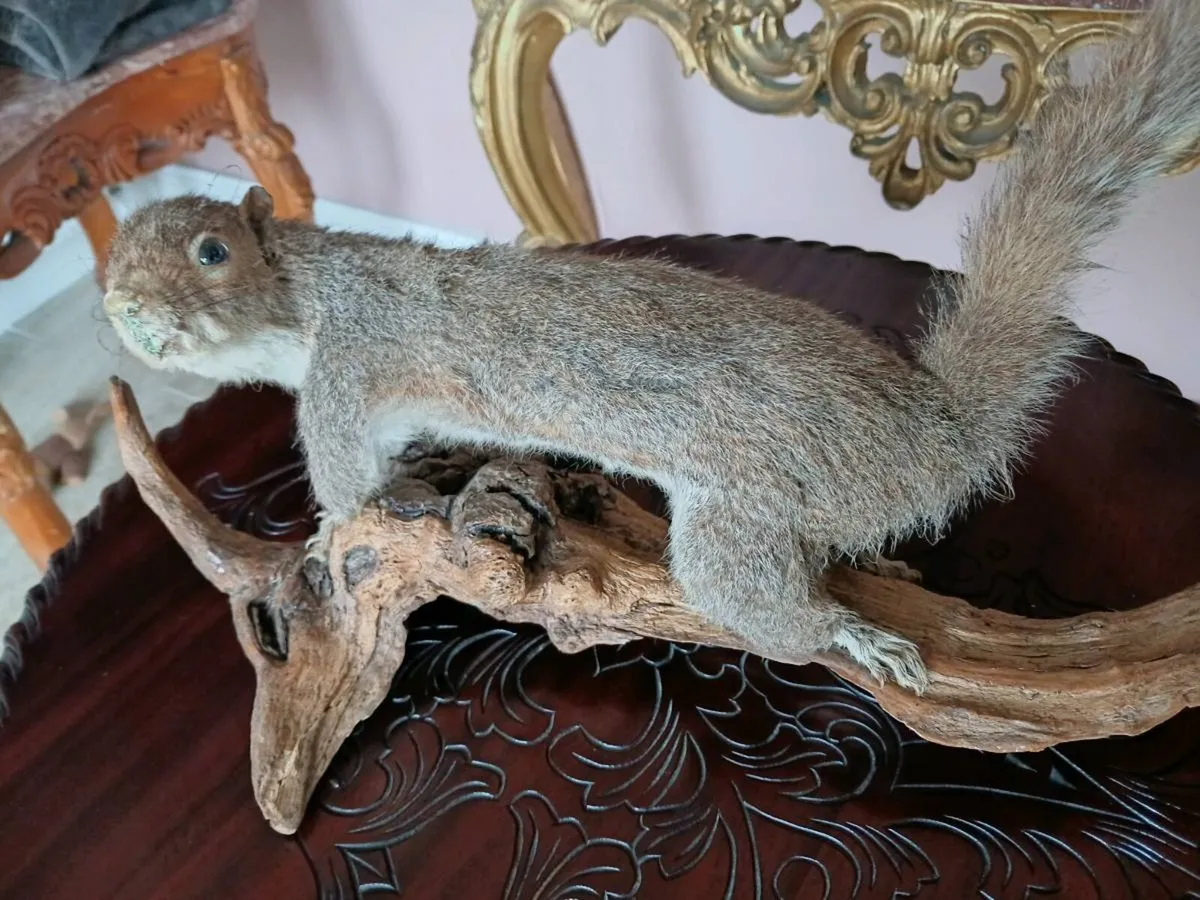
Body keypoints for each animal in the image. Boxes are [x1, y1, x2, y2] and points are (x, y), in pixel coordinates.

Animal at [100, 0, 1200, 693]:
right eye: (114, 247)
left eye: (211, 250)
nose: (117, 303)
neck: (309, 291)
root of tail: (936, 428)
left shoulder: (346, 369)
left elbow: (343, 479)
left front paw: (328, 536)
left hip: (742, 506)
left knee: (751, 593)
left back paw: (842, 629)